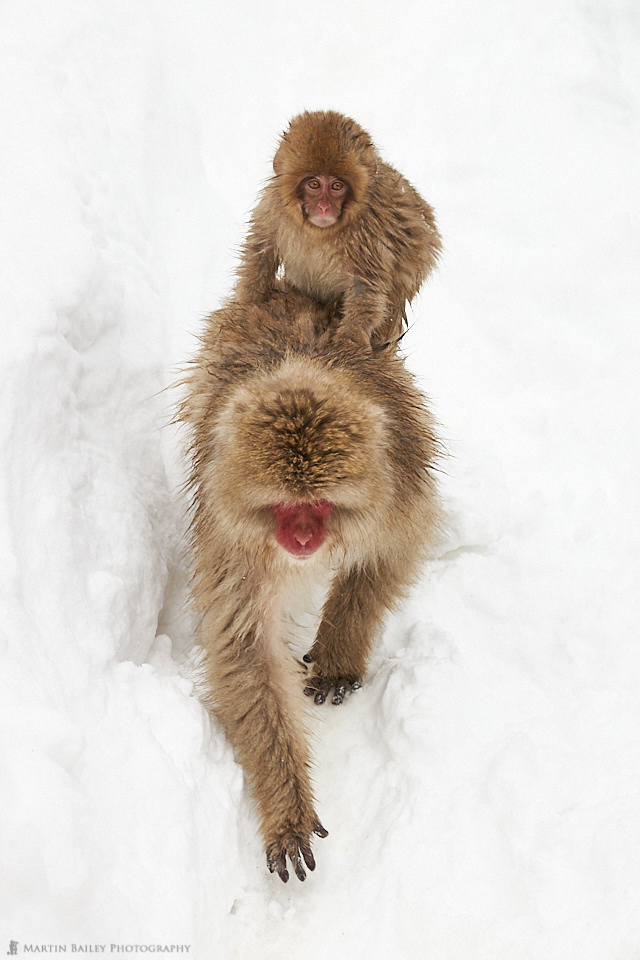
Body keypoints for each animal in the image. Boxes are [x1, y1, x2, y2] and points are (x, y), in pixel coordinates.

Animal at [179, 288, 440, 880]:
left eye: (318, 504)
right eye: (283, 505)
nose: (302, 537)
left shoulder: (393, 490)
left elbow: (390, 553)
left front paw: (339, 653)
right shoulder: (234, 539)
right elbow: (246, 653)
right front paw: (287, 808)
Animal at [232, 111, 442, 352]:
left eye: (337, 186)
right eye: (314, 184)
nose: (324, 207)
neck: (320, 231)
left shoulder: (368, 229)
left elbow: (365, 286)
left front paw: (350, 339)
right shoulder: (272, 207)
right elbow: (261, 252)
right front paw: (245, 305)